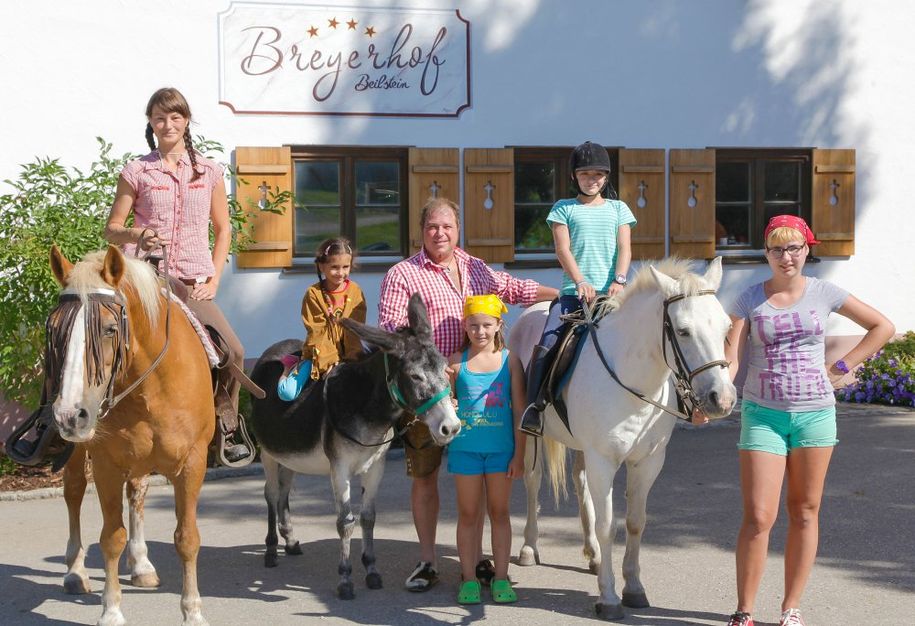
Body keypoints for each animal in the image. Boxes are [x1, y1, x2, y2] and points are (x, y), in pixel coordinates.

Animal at [49, 245, 216, 624]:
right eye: (55, 329)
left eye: (110, 329)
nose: (70, 415)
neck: (151, 386)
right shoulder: (106, 465)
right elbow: (111, 538)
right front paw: (111, 610)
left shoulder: (193, 464)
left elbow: (187, 538)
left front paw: (193, 611)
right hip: (79, 450)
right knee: (74, 492)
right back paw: (75, 571)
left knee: (138, 492)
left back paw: (141, 564)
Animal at [249, 294, 462, 596]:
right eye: (415, 376)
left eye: (445, 369)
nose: (451, 427)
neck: (363, 406)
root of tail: (275, 347)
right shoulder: (340, 469)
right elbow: (345, 522)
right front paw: (345, 579)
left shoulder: (375, 467)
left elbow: (368, 517)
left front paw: (371, 571)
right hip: (267, 452)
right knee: (271, 494)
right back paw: (270, 551)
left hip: (288, 453)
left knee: (284, 490)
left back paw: (289, 541)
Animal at [516, 256, 736, 616]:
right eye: (683, 331)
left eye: (726, 328)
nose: (723, 399)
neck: (634, 383)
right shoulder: (603, 461)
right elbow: (609, 525)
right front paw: (608, 597)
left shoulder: (647, 462)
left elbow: (635, 521)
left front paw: (633, 587)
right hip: (529, 434)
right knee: (532, 480)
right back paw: (528, 548)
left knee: (579, 483)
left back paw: (592, 555)